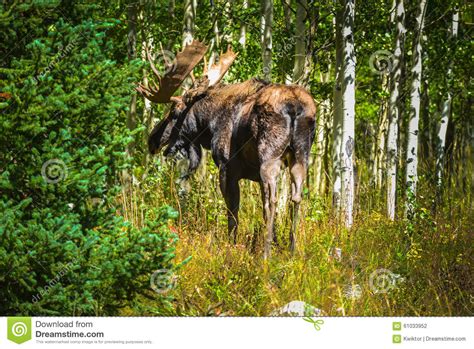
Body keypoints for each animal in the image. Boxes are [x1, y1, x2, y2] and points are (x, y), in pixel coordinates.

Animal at [137, 41, 314, 258]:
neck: (210, 122)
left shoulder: (227, 167)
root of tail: (295, 108)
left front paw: (231, 246)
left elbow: (232, 210)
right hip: (300, 155)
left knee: (271, 200)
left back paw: (266, 254)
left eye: (173, 112)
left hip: (270, 156)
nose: (152, 140)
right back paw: (292, 250)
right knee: (296, 196)